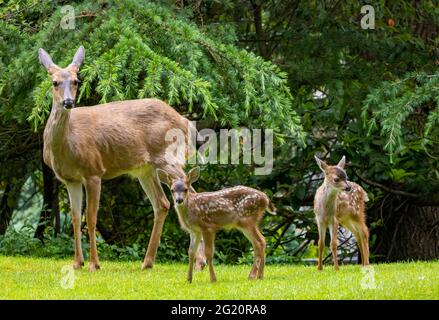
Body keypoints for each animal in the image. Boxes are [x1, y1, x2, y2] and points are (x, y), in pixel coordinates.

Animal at [38, 46, 205, 272]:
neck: (67, 145)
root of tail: (186, 122)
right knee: (162, 204)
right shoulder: (70, 179)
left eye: (76, 81)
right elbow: (74, 218)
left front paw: (94, 264)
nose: (68, 102)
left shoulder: (93, 171)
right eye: (54, 82)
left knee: (191, 192)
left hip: (169, 158)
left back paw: (199, 262)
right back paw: (147, 262)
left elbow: (90, 217)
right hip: (146, 170)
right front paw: (77, 263)